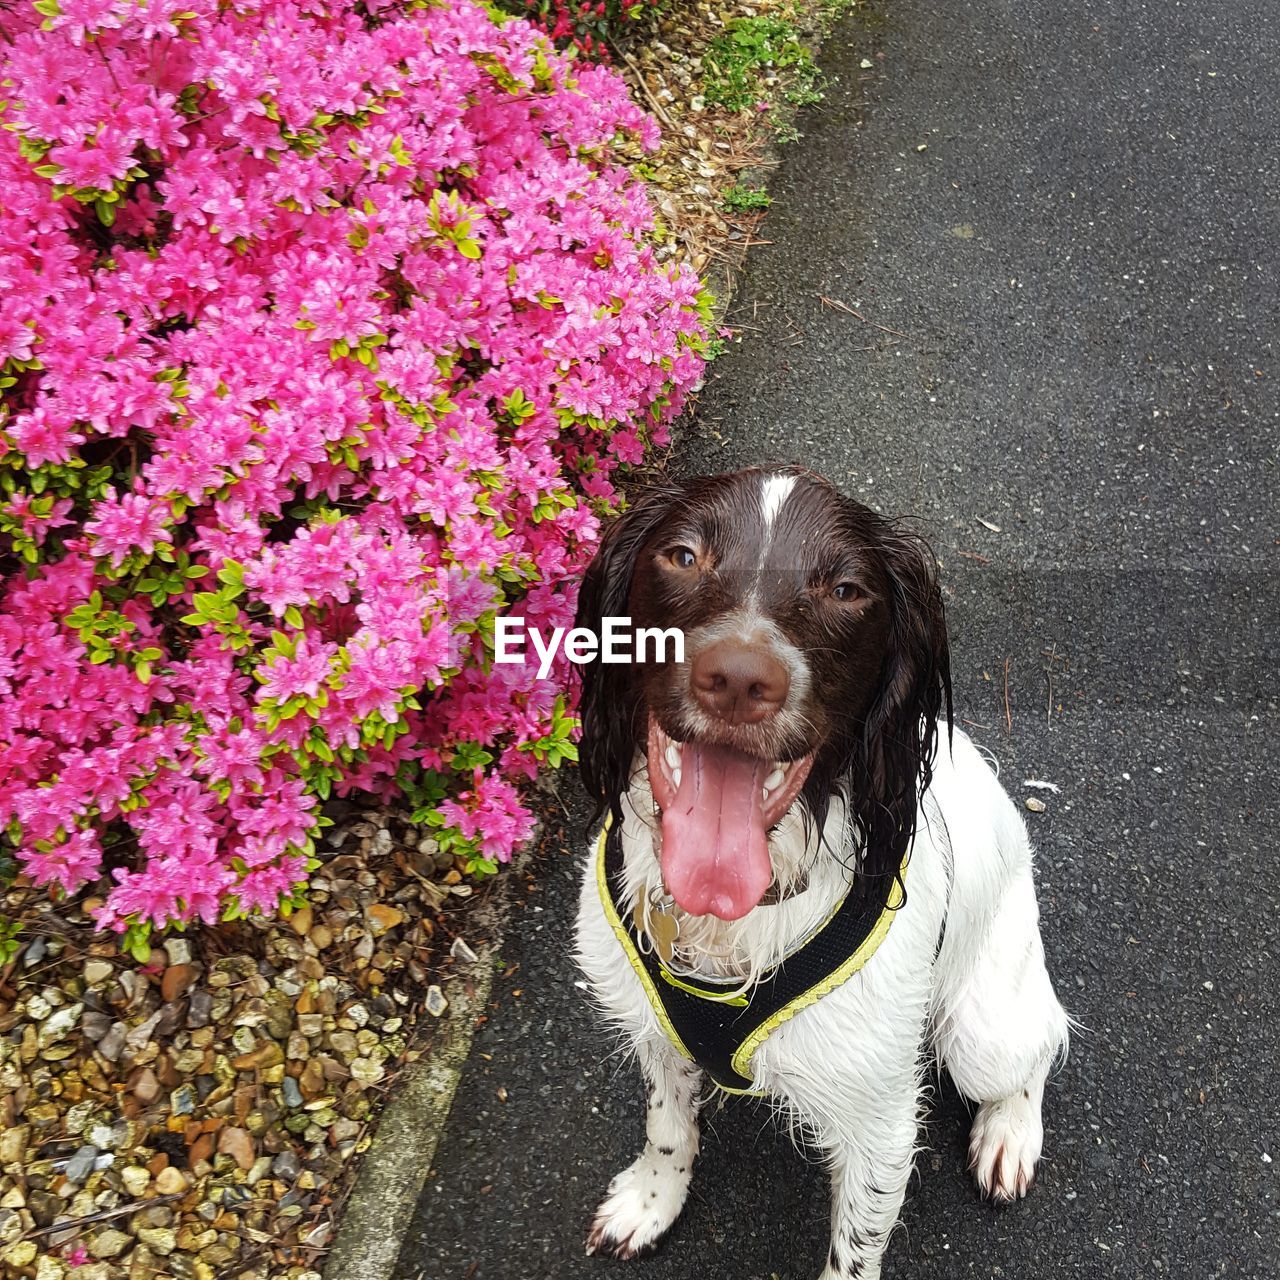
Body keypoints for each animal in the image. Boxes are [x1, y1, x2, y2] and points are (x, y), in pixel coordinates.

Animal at [570, 465, 1070, 1274]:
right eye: (682, 555)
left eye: (846, 589)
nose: (738, 679)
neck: (725, 926)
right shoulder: (655, 1029)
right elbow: (669, 1125)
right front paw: (651, 1200)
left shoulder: (881, 1120)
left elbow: (854, 1251)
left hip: (981, 1032)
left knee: (1036, 1052)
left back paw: (1008, 1135)